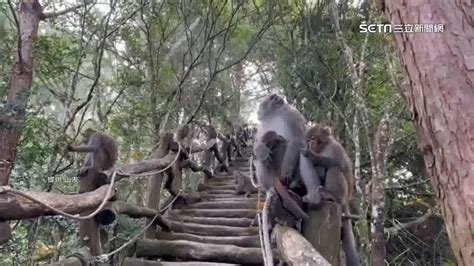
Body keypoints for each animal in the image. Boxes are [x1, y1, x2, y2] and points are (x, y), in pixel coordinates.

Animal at [302, 124, 362, 266]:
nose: (309, 144)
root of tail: (346, 199)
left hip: (343, 192)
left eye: (313, 138)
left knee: (334, 169)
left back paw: (330, 195)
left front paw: (313, 156)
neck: (322, 148)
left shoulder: (335, 148)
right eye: (308, 139)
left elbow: (340, 165)